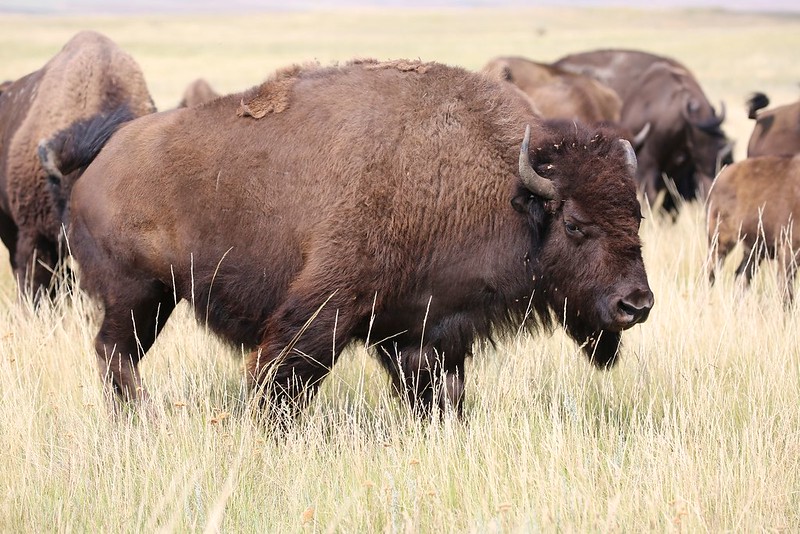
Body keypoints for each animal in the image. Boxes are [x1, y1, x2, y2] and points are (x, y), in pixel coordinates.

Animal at [60, 59, 653, 418]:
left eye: (638, 219)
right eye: (575, 224)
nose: (637, 304)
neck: (503, 189)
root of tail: (100, 162)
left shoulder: (426, 330)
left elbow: (440, 394)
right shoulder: (327, 305)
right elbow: (285, 378)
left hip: (155, 299)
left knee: (116, 355)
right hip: (136, 294)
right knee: (115, 352)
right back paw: (141, 419)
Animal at [707, 154, 800, 304]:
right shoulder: (789, 249)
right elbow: (786, 292)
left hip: (753, 251)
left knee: (741, 276)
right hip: (719, 242)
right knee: (710, 272)